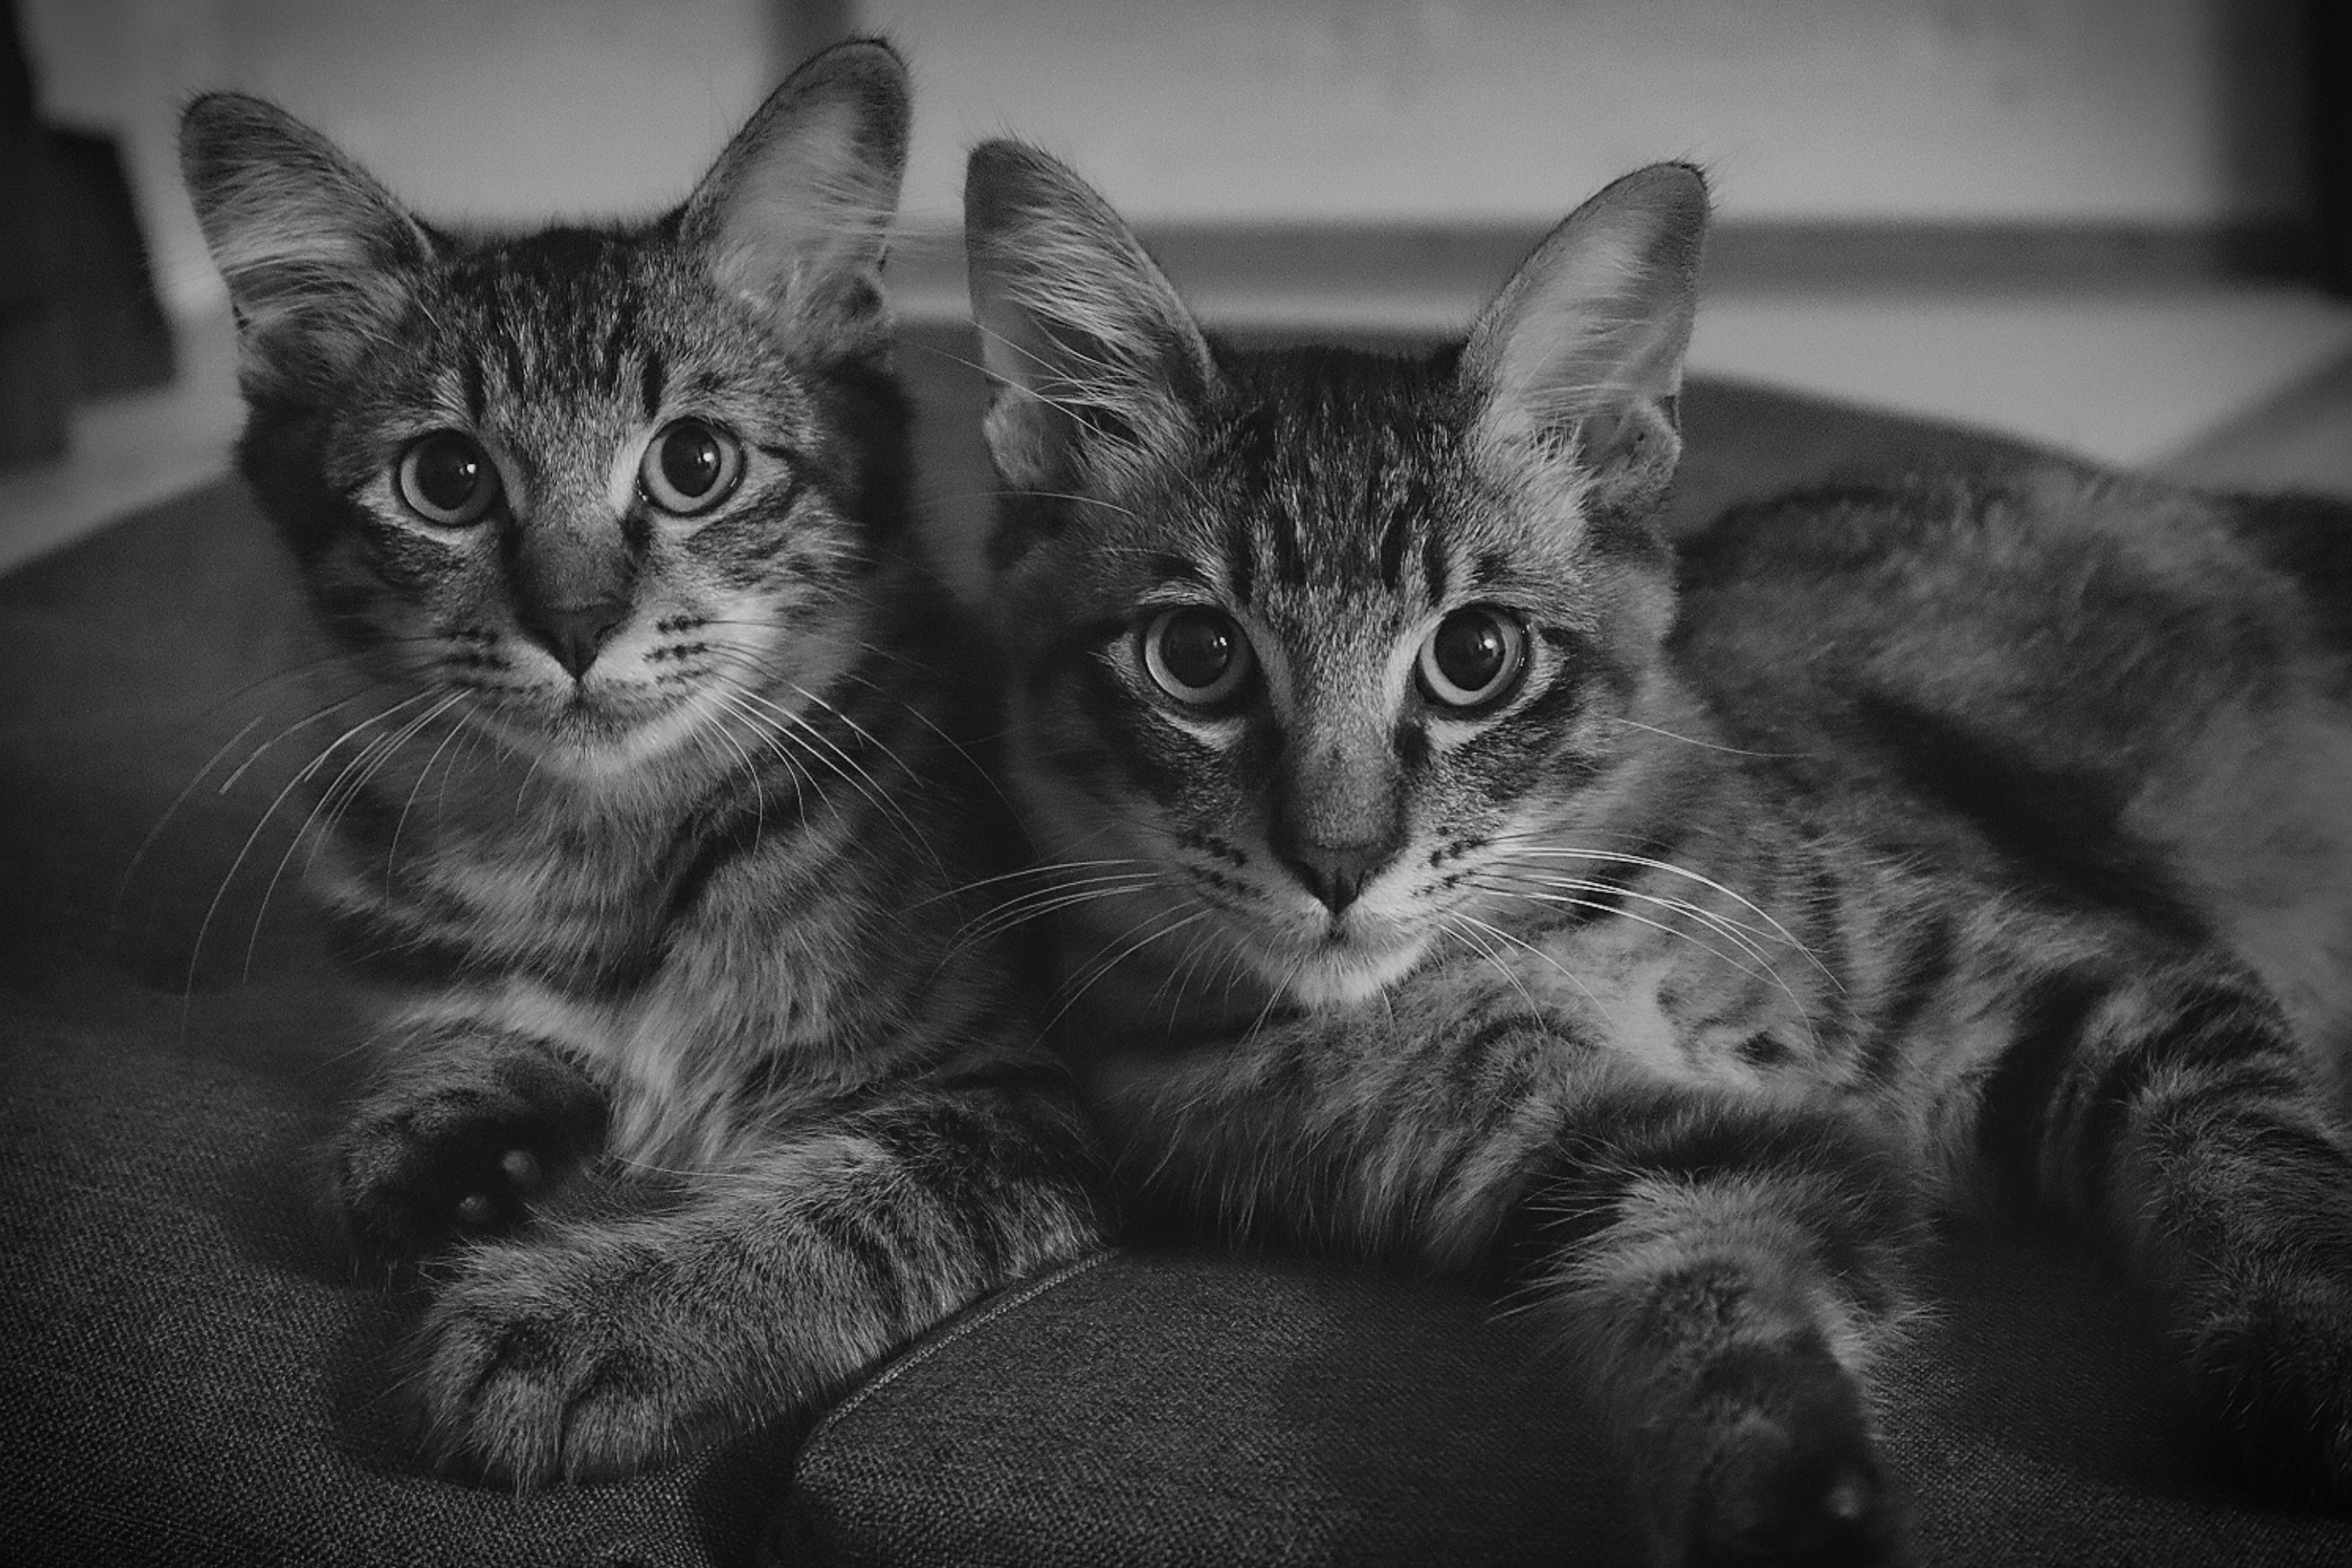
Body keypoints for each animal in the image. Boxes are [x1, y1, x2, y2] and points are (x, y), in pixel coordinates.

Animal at [174, 43, 1110, 1495]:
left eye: (696, 465)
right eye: (445, 480)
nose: (573, 625)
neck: (605, 846)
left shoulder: (1022, 1104)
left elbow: (841, 1218)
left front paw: (589, 1326)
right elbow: (463, 1036)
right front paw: (435, 1140)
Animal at [955, 141, 2352, 1561]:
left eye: (1474, 656)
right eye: (1197, 656)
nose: (1338, 864)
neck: (1567, 943)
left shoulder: (2114, 981)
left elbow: (2253, 1160)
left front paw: (2307, 1354)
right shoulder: (1633, 1159)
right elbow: (1712, 1331)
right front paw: (1786, 1512)